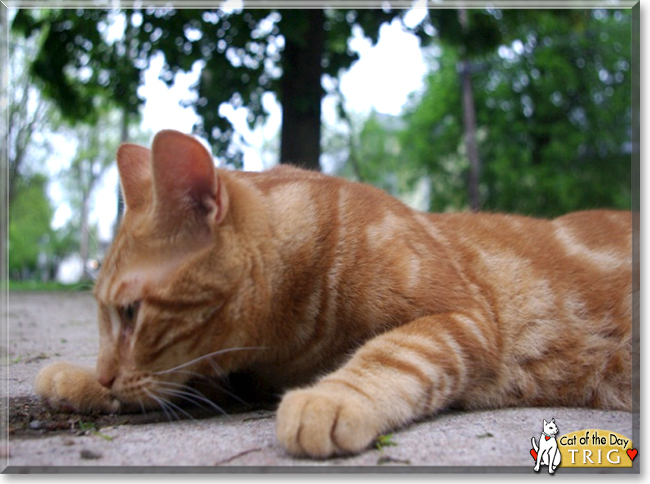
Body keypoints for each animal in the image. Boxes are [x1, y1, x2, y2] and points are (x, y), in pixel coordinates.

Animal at [33, 129, 632, 458]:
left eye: (132, 312)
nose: (105, 374)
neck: (287, 341)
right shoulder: (235, 372)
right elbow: (189, 379)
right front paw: (81, 379)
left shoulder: (465, 317)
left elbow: (394, 352)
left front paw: (333, 397)